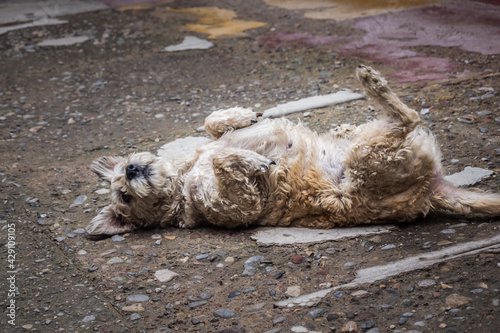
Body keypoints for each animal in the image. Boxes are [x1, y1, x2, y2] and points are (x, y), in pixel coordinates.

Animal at [87, 65, 500, 236]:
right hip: (371, 156)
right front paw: (253, 160)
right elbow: (227, 162)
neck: (182, 179)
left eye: (123, 171)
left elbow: (211, 124)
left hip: (367, 144)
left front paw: (241, 116)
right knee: (408, 117)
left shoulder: (208, 145)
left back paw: (351, 113)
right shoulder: (234, 206)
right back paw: (373, 83)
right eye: (124, 197)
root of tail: (432, 191)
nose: (131, 171)